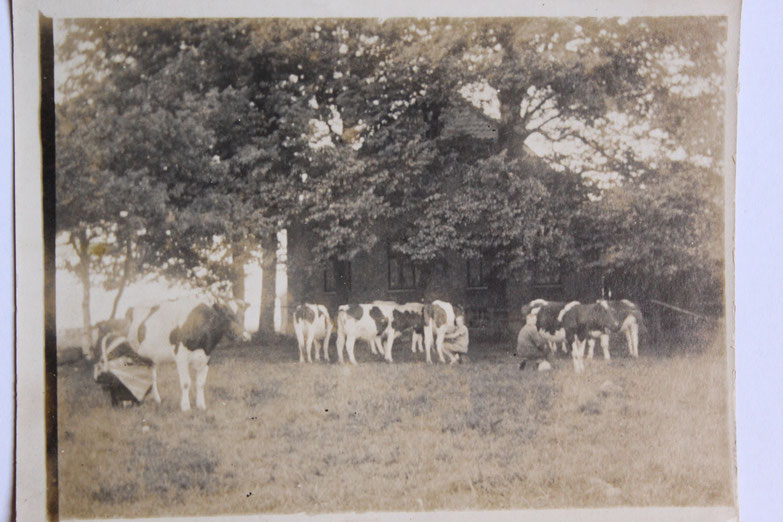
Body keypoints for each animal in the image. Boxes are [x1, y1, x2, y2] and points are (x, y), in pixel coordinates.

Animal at [92, 296, 253, 410]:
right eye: (227, 315)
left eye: (243, 315)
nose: (245, 336)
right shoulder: (180, 356)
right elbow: (186, 383)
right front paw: (186, 407)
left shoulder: (207, 358)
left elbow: (201, 383)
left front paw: (201, 406)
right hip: (124, 350)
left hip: (149, 357)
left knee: (152, 377)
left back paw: (156, 400)